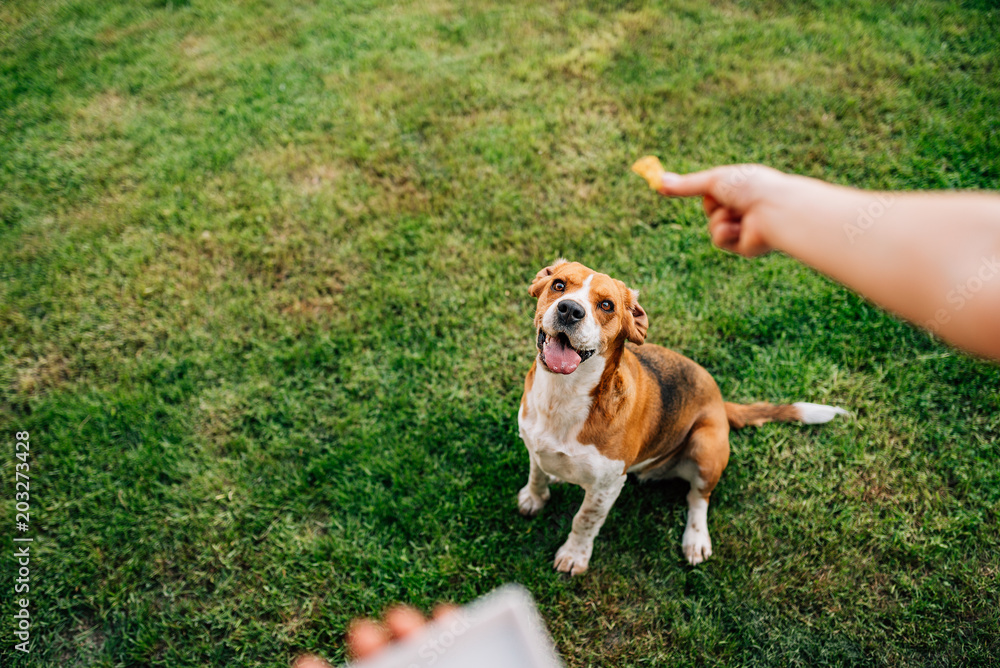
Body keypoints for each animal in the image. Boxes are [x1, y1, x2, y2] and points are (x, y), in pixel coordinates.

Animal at [520, 260, 848, 576]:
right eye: (558, 285)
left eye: (607, 305)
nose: (570, 309)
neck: (563, 395)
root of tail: (720, 402)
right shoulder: (534, 445)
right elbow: (536, 474)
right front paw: (534, 498)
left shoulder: (606, 487)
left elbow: (584, 521)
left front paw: (574, 556)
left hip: (706, 446)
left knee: (698, 498)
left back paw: (696, 539)